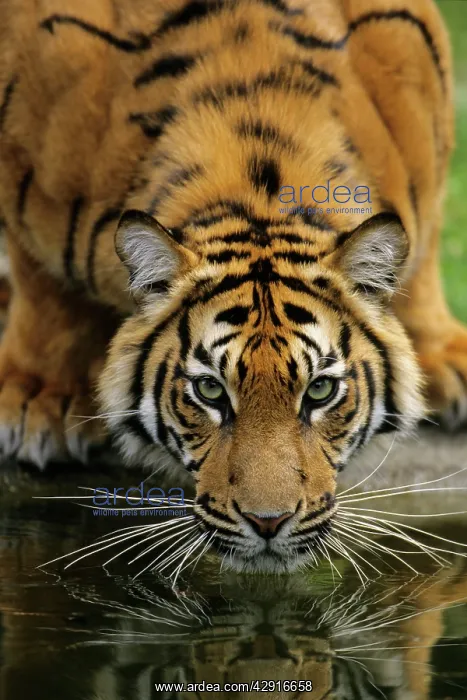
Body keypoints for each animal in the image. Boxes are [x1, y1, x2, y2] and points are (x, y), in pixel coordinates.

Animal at [0, 0, 466, 573]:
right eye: (209, 390)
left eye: (320, 390)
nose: (268, 522)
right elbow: (44, 287)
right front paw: (39, 399)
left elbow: (423, 255)